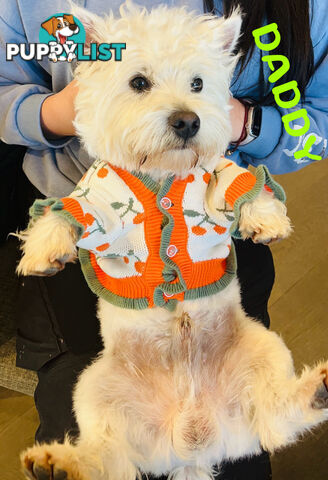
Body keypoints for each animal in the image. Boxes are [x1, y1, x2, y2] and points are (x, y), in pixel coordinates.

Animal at [17, 1, 328, 478]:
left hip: (262, 352)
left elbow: (243, 183)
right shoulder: (99, 199)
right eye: (138, 82)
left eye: (198, 83)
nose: (188, 120)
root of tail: (193, 441)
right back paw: (58, 464)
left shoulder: (216, 174)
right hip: (96, 390)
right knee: (109, 456)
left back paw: (318, 389)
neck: (164, 169)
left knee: (275, 417)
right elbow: (68, 211)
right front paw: (42, 250)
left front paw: (267, 221)